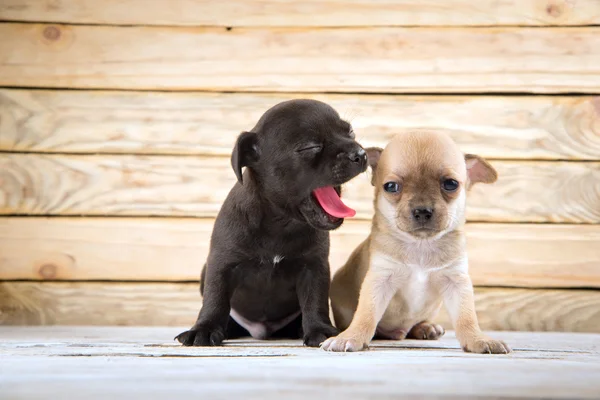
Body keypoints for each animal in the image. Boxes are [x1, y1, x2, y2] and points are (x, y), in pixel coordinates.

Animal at [176, 98, 368, 346]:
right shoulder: (222, 264)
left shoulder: (314, 267)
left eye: (351, 132)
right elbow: (215, 297)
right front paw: (204, 328)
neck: (281, 221)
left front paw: (320, 329)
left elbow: (315, 300)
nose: (361, 153)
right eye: (310, 147)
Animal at [324, 131, 510, 354]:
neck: (421, 245)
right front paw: (351, 336)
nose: (422, 210)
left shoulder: (456, 282)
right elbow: (366, 314)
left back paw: (425, 327)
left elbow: (467, 317)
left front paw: (478, 339)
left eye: (451, 184)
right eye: (391, 187)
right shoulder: (380, 280)